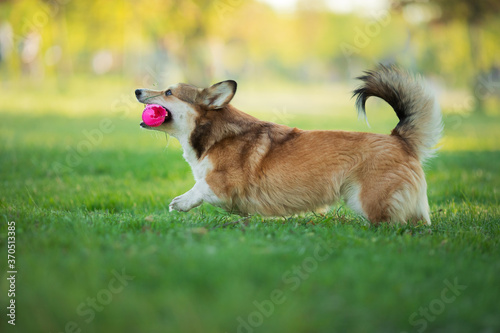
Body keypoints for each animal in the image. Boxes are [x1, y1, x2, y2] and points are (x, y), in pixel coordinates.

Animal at [134, 65, 442, 224]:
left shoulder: (222, 185)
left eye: (168, 92)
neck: (212, 133)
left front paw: (179, 203)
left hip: (368, 199)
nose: (136, 90)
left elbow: (199, 188)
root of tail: (399, 139)